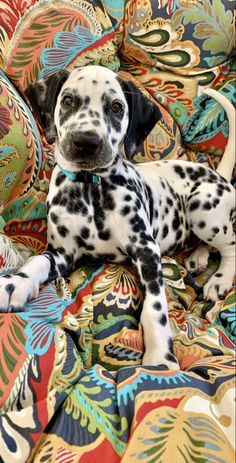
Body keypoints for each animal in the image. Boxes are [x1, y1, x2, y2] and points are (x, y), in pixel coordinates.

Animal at [0, 65, 235, 370]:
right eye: (68, 101)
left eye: (116, 107)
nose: (85, 142)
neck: (91, 188)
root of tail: (218, 174)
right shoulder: (62, 253)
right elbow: (37, 261)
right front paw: (15, 283)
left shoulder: (146, 249)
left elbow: (155, 305)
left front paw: (160, 355)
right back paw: (198, 257)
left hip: (203, 209)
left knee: (230, 245)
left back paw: (220, 278)